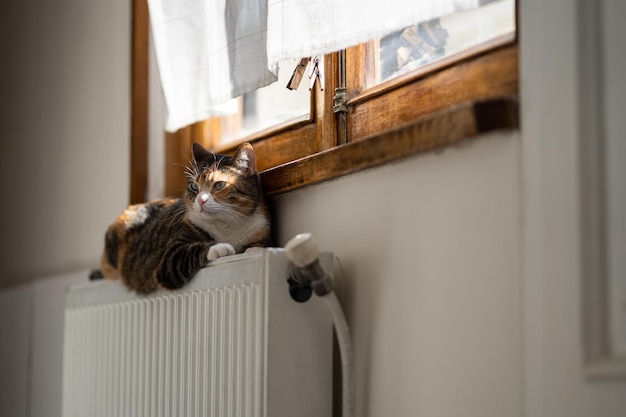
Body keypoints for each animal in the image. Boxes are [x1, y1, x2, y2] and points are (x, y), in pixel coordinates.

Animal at [97, 142, 270, 292]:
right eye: (194, 186)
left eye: (220, 185)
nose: (201, 200)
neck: (227, 226)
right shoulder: (168, 260)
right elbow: (188, 253)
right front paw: (220, 247)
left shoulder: (261, 228)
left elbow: (257, 245)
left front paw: (253, 250)